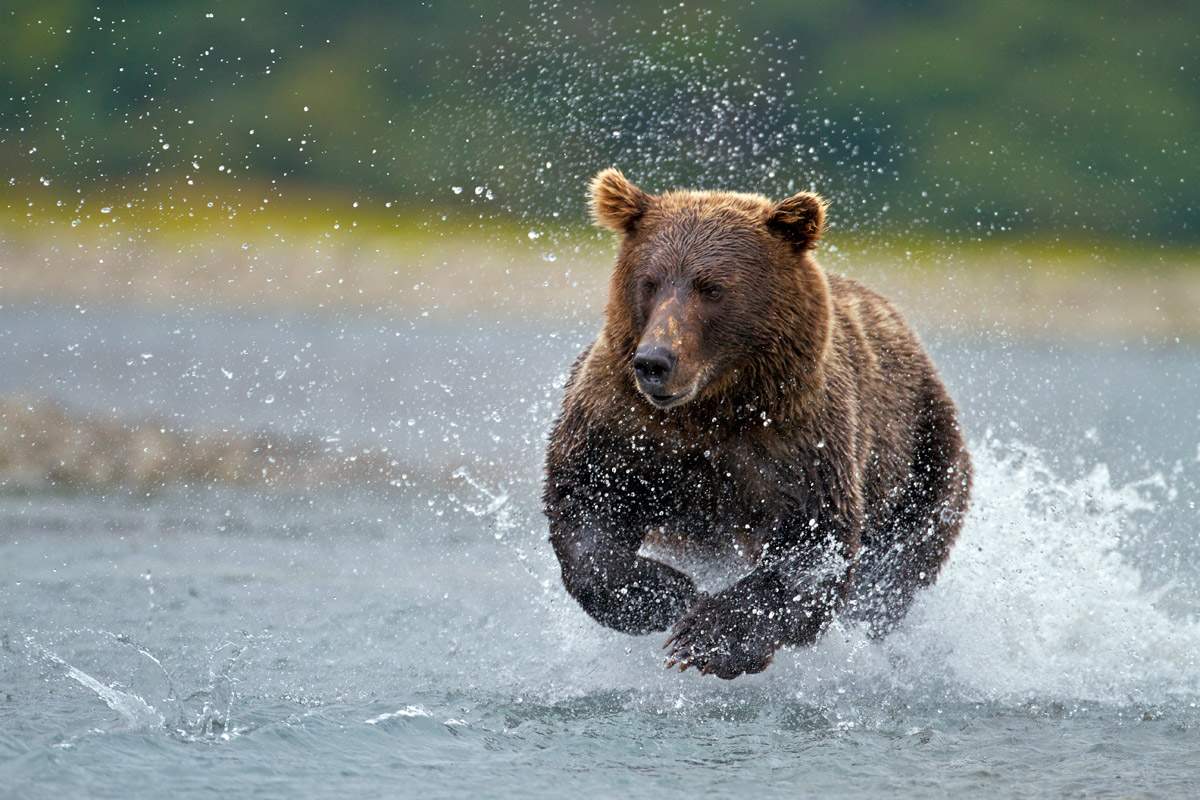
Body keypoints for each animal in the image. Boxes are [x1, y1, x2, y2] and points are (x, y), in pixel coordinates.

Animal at [543, 168, 972, 679]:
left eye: (711, 287)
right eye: (650, 282)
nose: (654, 362)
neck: (714, 406)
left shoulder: (799, 442)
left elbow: (812, 545)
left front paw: (706, 639)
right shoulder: (625, 425)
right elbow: (587, 501)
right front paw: (664, 593)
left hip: (924, 454)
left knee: (896, 567)